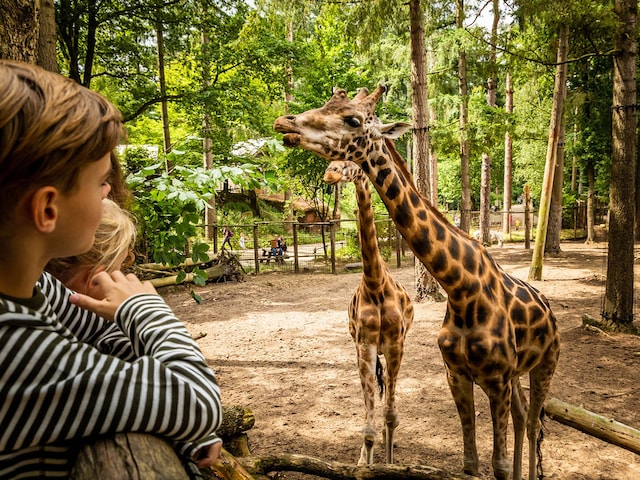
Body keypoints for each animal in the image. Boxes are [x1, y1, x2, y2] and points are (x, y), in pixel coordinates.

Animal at [324, 161, 416, 464]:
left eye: (350, 163)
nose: (330, 173)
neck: (375, 283)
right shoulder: (364, 345)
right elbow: (368, 429)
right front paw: (366, 463)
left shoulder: (396, 343)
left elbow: (390, 416)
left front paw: (389, 463)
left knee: (385, 389)